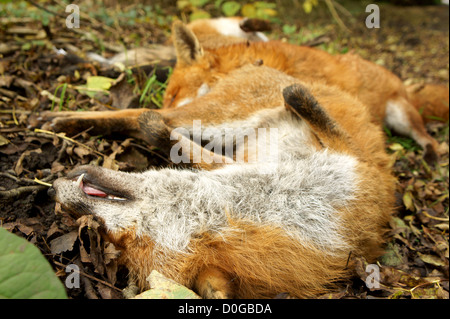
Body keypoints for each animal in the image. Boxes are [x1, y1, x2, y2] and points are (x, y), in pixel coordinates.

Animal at [48, 63, 394, 300]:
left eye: (119, 237)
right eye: (110, 238)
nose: (57, 194)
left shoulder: (357, 169)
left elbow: (332, 129)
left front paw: (299, 98)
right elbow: (182, 147)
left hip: (218, 120)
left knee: (148, 114)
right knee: (147, 115)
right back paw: (63, 120)